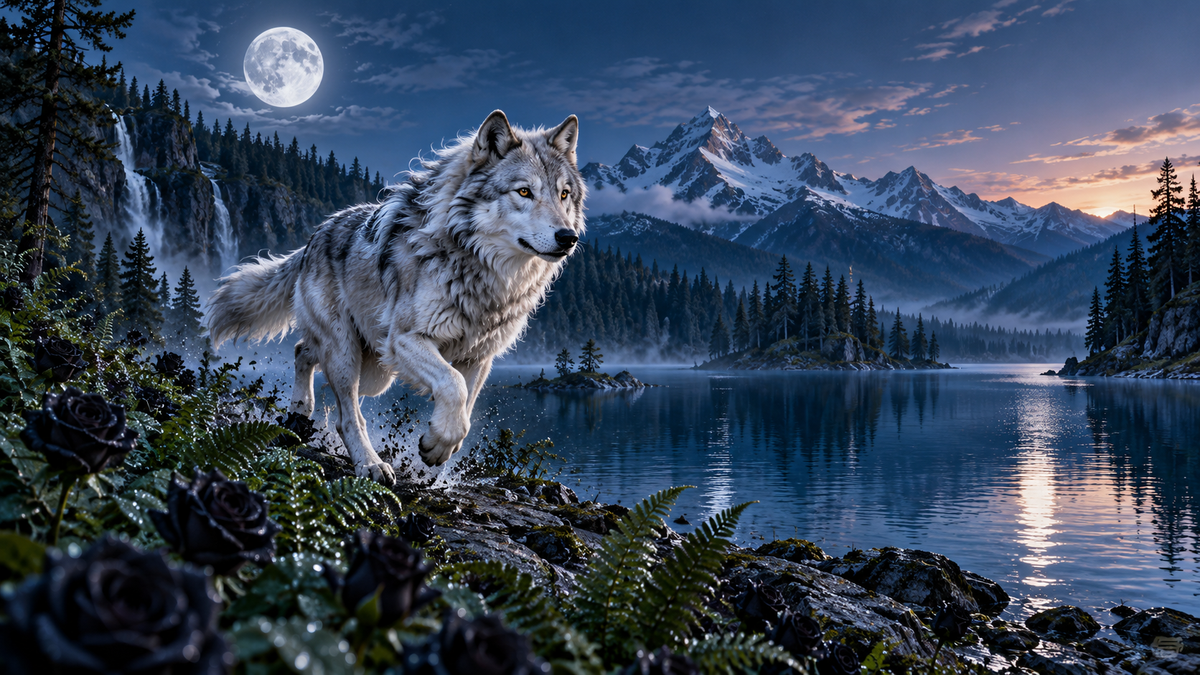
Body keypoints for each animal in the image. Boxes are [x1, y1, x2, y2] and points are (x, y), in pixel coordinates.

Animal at [206, 110, 585, 484]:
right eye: (524, 191)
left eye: (564, 195)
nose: (568, 237)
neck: (482, 271)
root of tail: (315, 235)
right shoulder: (405, 339)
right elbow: (453, 386)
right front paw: (436, 443)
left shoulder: (479, 357)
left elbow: (464, 411)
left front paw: (435, 457)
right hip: (348, 353)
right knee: (346, 414)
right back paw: (370, 464)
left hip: (373, 370)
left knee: (304, 352)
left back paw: (301, 411)